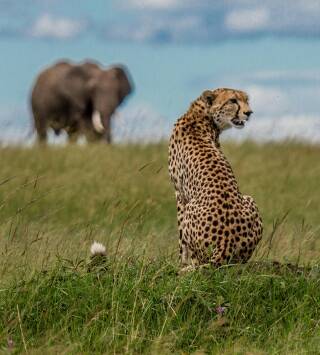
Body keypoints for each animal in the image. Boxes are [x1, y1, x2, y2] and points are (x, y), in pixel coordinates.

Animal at [168, 87, 262, 272]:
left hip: (192, 206)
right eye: (233, 101)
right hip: (249, 200)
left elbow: (181, 239)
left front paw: (181, 263)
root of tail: (226, 245)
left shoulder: (179, 194)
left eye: (246, 100)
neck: (201, 114)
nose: (249, 112)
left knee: (199, 261)